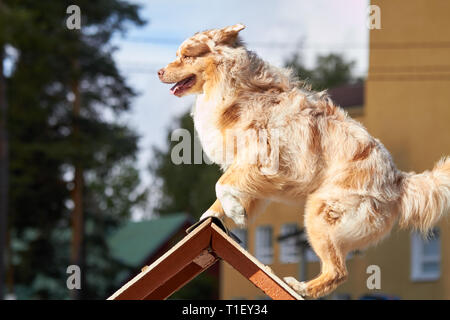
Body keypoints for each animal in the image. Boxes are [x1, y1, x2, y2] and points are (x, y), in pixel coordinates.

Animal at [156, 23, 448, 298]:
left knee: (338, 271)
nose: (158, 72)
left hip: (319, 215)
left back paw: (300, 287)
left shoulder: (262, 160)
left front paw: (236, 212)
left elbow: (221, 184)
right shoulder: (249, 173)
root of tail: (398, 180)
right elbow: (223, 194)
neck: (234, 86)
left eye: (186, 56)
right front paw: (210, 218)